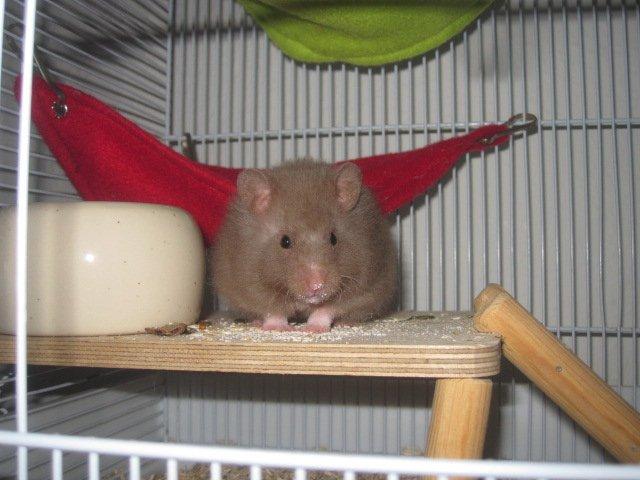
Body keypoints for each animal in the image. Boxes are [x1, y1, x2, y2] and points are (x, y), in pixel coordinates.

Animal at [212, 159, 397, 333]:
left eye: (333, 238)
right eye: (285, 241)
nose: (317, 286)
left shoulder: (362, 283)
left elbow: (326, 309)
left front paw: (312, 329)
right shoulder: (250, 284)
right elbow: (273, 310)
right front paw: (280, 328)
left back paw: (345, 323)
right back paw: (257, 323)